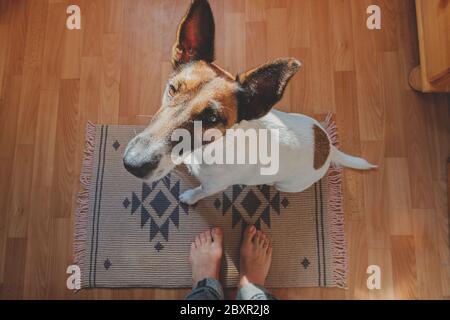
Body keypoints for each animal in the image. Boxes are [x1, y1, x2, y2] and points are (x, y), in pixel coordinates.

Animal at [123, 0, 376, 205]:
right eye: (173, 88)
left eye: (211, 118)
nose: (132, 164)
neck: (209, 149)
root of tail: (328, 147)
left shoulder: (213, 186)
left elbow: (200, 191)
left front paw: (189, 197)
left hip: (287, 184)